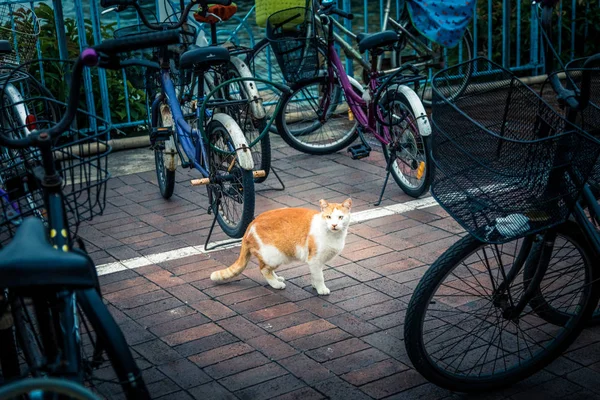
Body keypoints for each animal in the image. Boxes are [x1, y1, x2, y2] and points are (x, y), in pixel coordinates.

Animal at [211, 198, 352, 296]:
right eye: (328, 217)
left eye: (340, 217)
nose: (334, 225)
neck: (333, 236)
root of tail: (251, 224)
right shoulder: (314, 259)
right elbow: (319, 276)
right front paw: (321, 289)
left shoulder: (317, 262)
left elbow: (315, 274)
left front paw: (315, 285)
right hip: (275, 255)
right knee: (263, 269)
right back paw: (276, 284)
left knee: (265, 266)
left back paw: (277, 278)